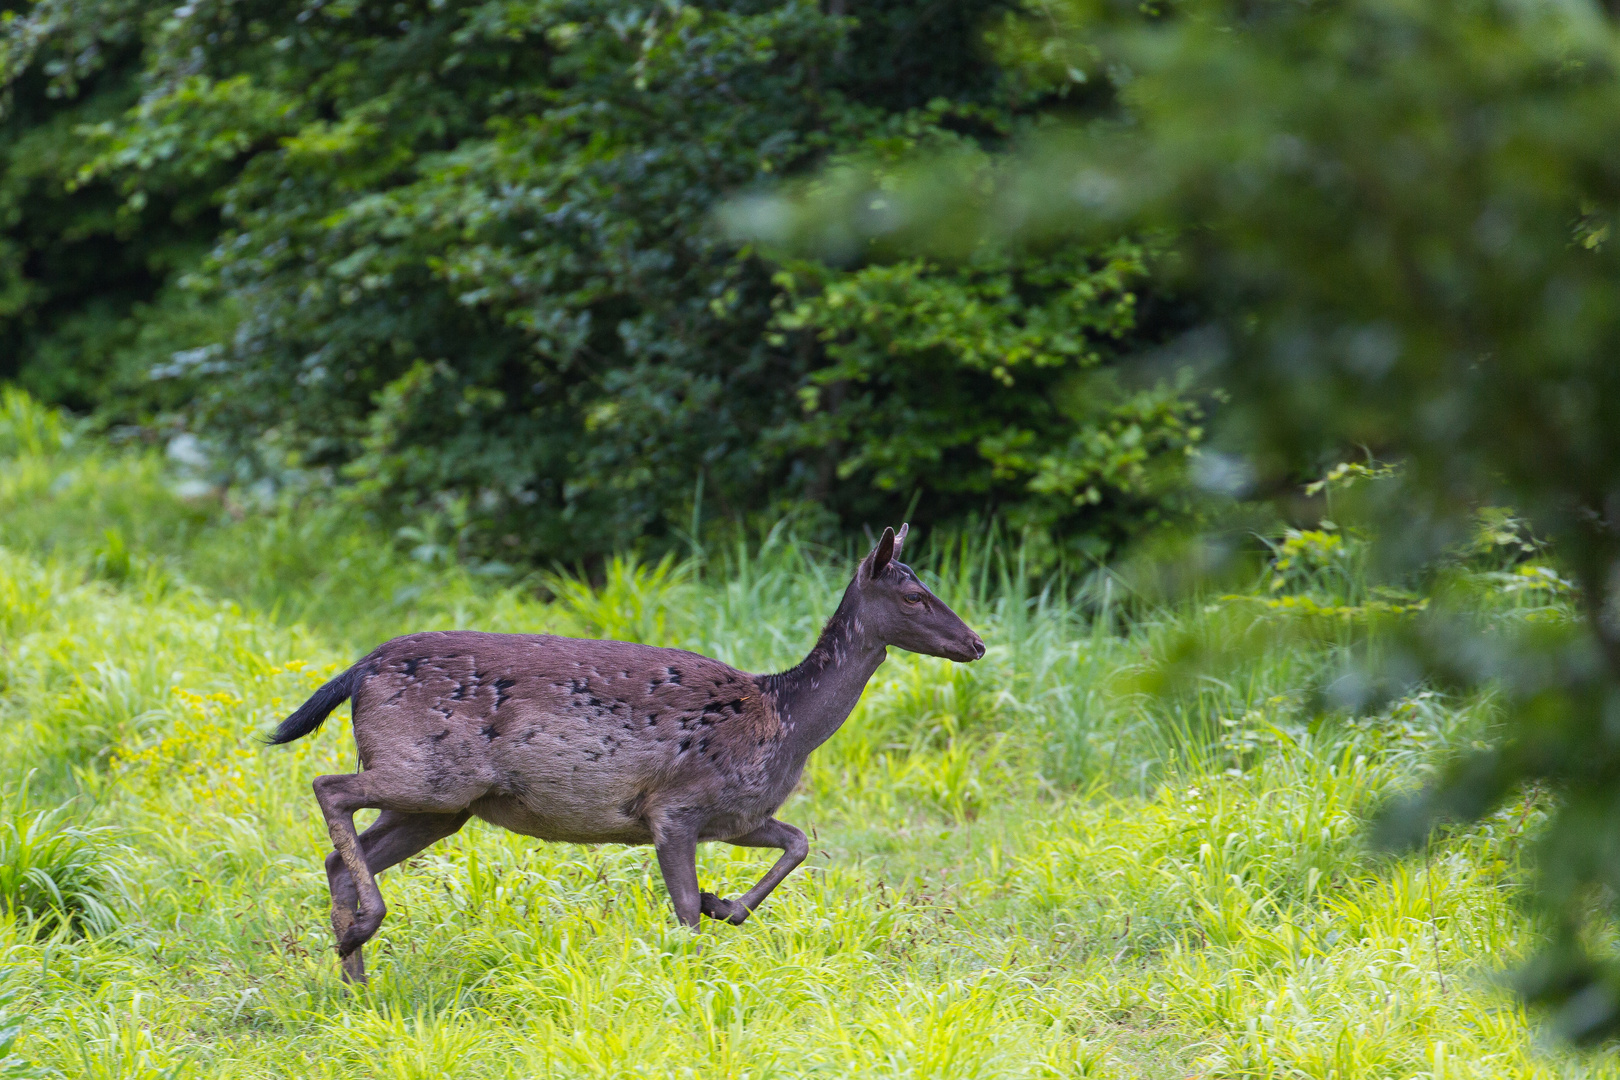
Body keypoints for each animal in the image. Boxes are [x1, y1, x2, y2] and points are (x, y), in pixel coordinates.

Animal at [265, 527, 978, 984]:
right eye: (913, 596)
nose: (975, 642)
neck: (785, 721)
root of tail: (359, 670)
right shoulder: (674, 807)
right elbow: (684, 910)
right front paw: (693, 973)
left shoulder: (737, 816)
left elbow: (799, 841)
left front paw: (728, 906)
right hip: (425, 772)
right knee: (329, 786)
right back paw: (364, 932)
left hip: (443, 803)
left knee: (337, 856)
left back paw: (356, 977)